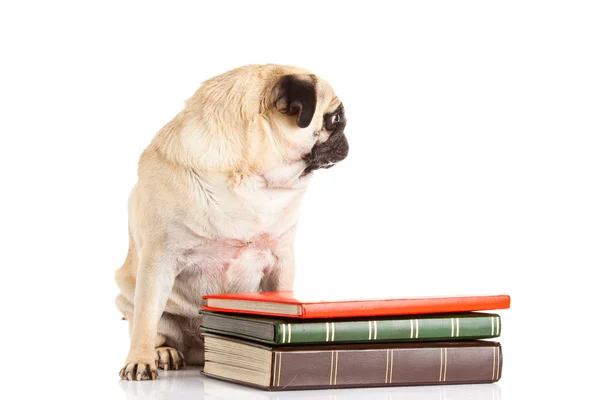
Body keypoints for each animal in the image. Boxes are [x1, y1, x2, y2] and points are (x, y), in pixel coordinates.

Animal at [113, 64, 346, 380]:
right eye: (335, 118)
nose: (346, 134)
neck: (252, 180)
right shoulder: (158, 261)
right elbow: (146, 318)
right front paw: (140, 360)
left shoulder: (281, 259)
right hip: (129, 297)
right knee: (153, 326)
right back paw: (163, 353)